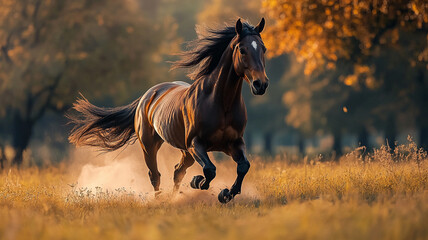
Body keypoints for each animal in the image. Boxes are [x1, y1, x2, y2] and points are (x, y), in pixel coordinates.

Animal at [68, 17, 270, 203]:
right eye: (242, 49)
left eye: (264, 49)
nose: (260, 84)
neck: (221, 103)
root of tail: (147, 96)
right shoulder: (196, 144)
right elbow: (209, 170)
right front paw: (198, 182)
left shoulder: (233, 143)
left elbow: (243, 166)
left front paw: (227, 194)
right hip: (150, 145)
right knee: (155, 174)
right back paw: (159, 199)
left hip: (185, 152)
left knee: (177, 171)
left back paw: (173, 198)